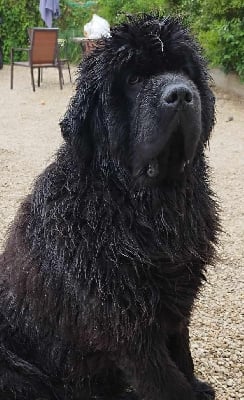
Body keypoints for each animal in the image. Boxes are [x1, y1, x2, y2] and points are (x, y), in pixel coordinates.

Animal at [0, 13, 219, 400]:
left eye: (184, 70)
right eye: (133, 79)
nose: (181, 94)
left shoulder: (178, 300)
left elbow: (182, 352)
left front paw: (197, 385)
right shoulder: (125, 325)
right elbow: (164, 379)